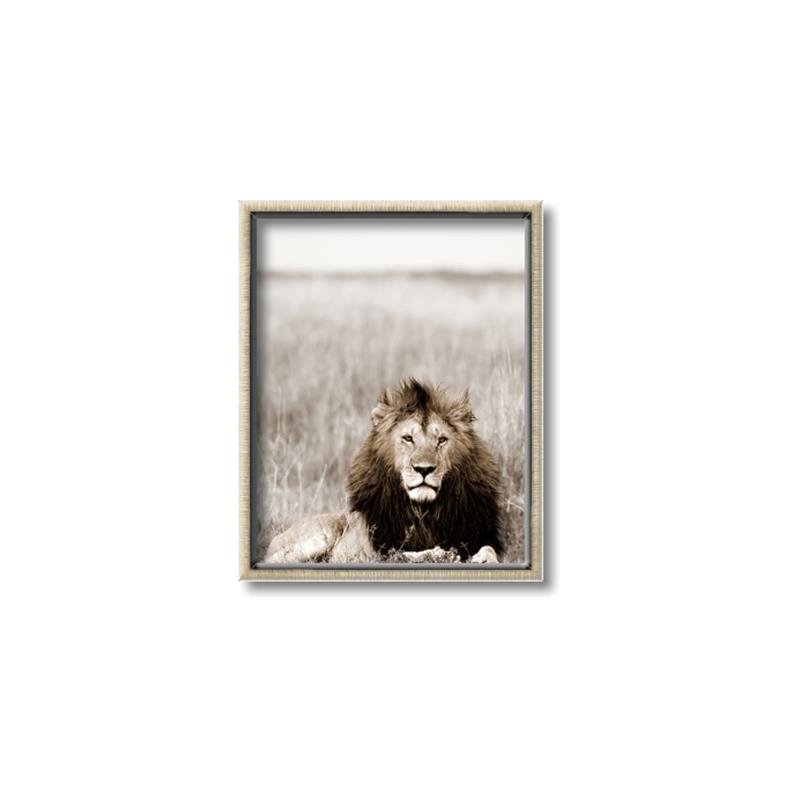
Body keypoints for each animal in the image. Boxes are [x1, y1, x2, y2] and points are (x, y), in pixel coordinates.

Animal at [259, 378, 502, 565]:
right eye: (408, 438)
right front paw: (437, 554)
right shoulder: (375, 550)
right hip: (318, 537)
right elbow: (400, 553)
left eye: (441, 440)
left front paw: (482, 558)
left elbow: (490, 549)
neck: (424, 511)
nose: (424, 469)